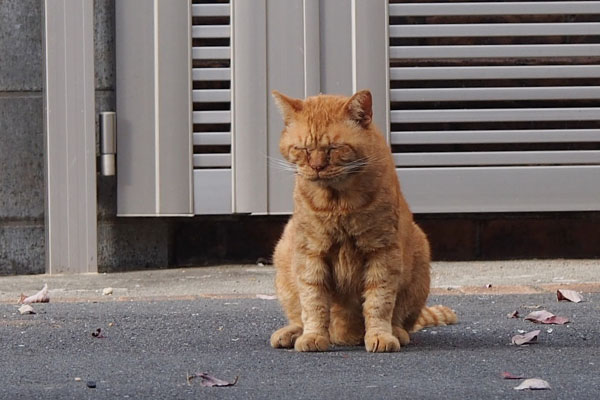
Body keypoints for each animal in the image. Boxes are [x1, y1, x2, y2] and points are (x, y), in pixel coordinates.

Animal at [270, 89, 458, 352]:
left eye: (333, 149)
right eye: (303, 149)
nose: (316, 167)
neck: (337, 202)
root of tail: (345, 334)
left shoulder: (382, 251)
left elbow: (379, 302)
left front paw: (380, 335)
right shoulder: (310, 252)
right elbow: (313, 302)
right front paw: (313, 336)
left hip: (421, 256)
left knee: (402, 318)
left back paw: (396, 331)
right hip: (284, 251)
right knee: (300, 315)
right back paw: (292, 333)